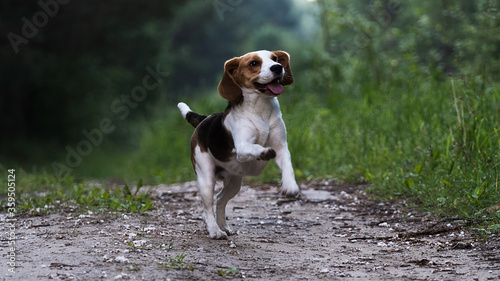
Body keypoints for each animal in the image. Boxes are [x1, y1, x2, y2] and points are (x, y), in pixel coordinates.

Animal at [178, 50, 298, 238]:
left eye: (275, 58)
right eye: (254, 63)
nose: (278, 67)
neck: (260, 109)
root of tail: (204, 119)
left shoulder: (282, 148)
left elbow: (287, 166)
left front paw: (290, 186)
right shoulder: (242, 147)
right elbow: (255, 147)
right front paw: (264, 152)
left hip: (234, 183)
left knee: (220, 199)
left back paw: (223, 226)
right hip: (205, 177)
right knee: (207, 208)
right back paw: (215, 230)